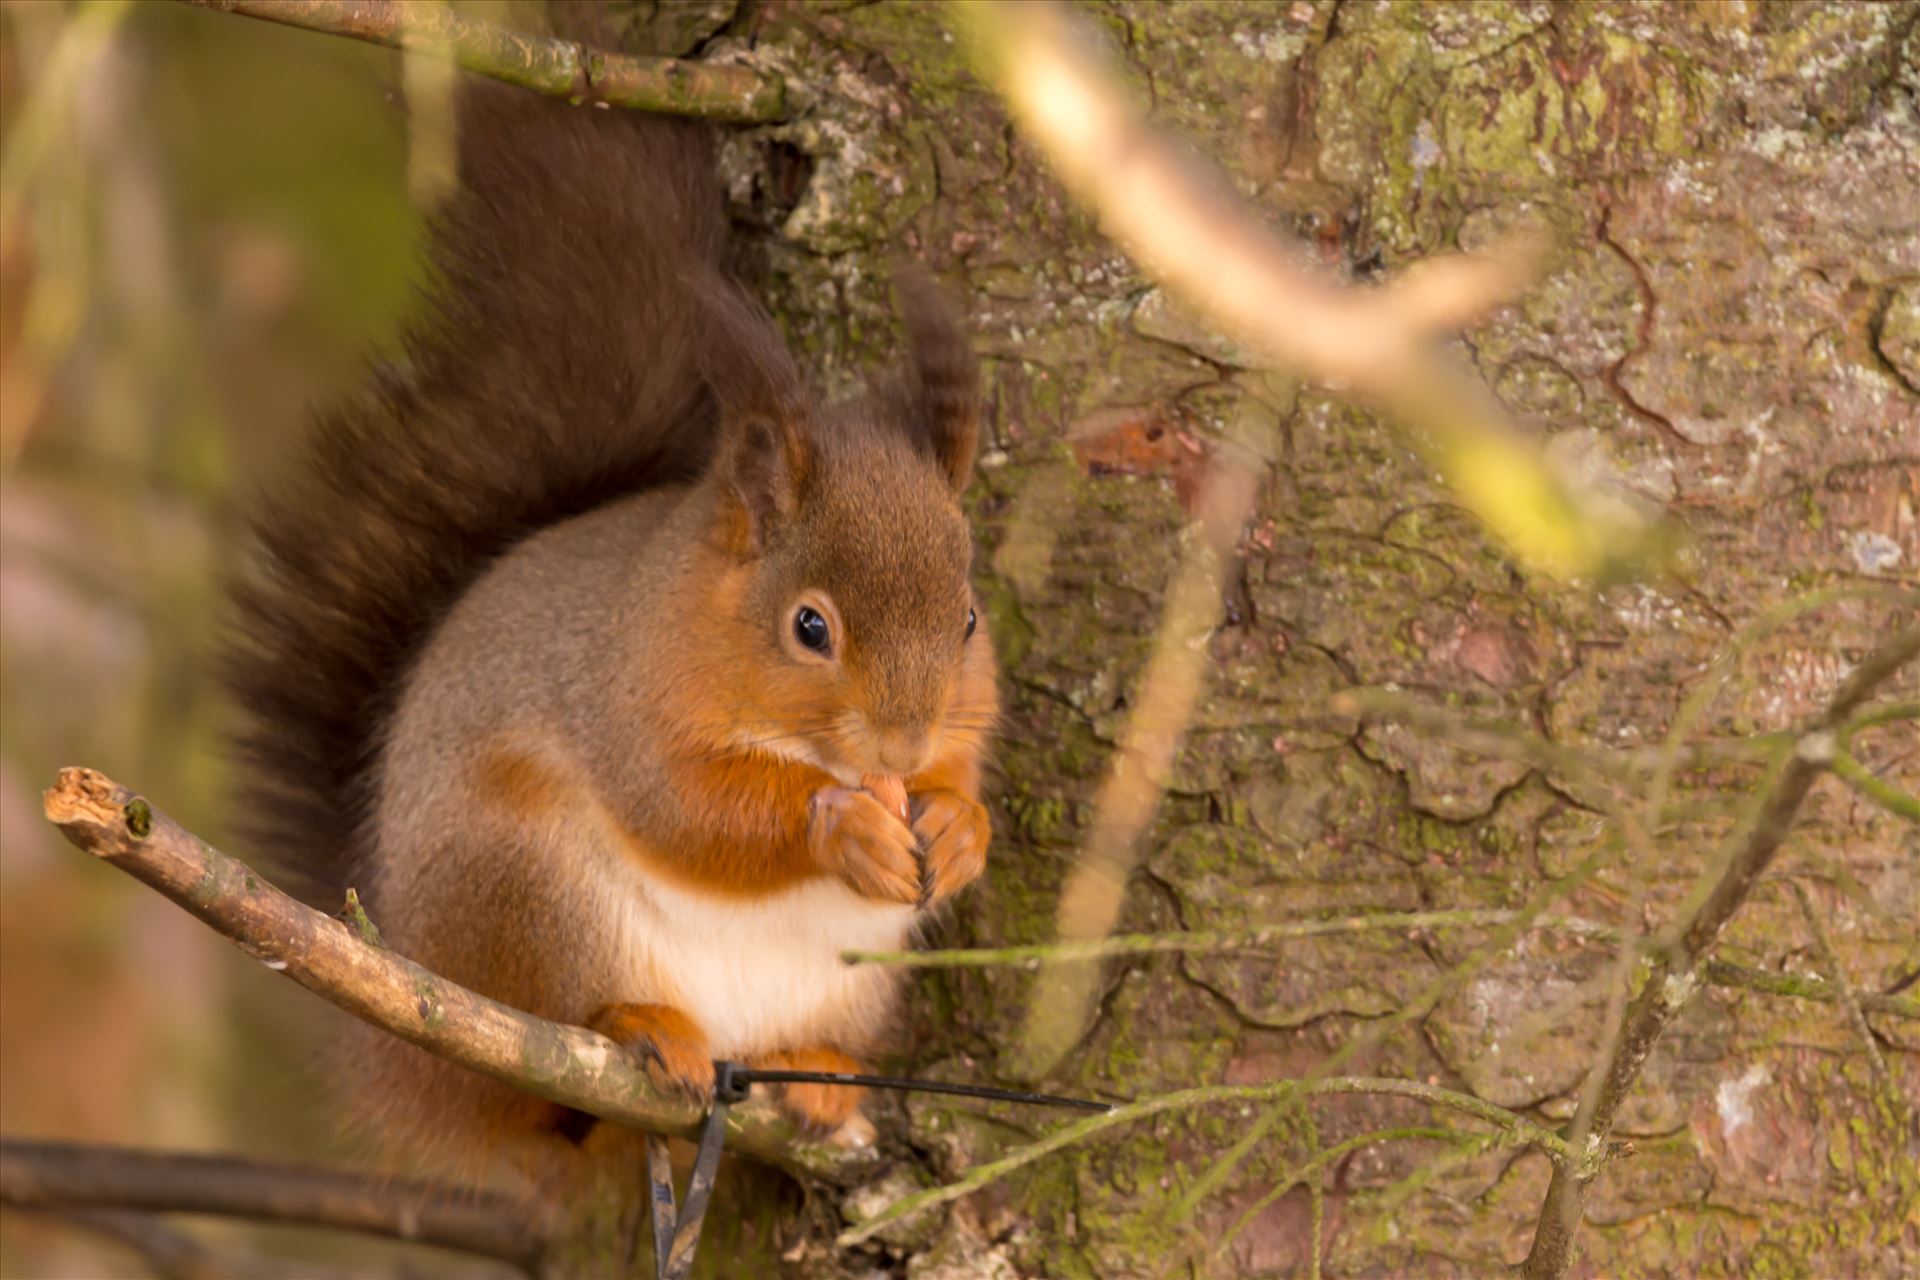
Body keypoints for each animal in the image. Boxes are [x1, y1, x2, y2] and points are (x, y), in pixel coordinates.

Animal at [222, 55, 998, 1174]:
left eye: (969, 618)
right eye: (809, 626)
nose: (902, 742)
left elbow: (964, 770)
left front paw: (957, 820)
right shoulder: (629, 699)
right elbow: (688, 810)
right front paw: (842, 823)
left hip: (853, 975)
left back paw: (816, 1072)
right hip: (535, 893)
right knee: (575, 1021)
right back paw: (646, 1026)